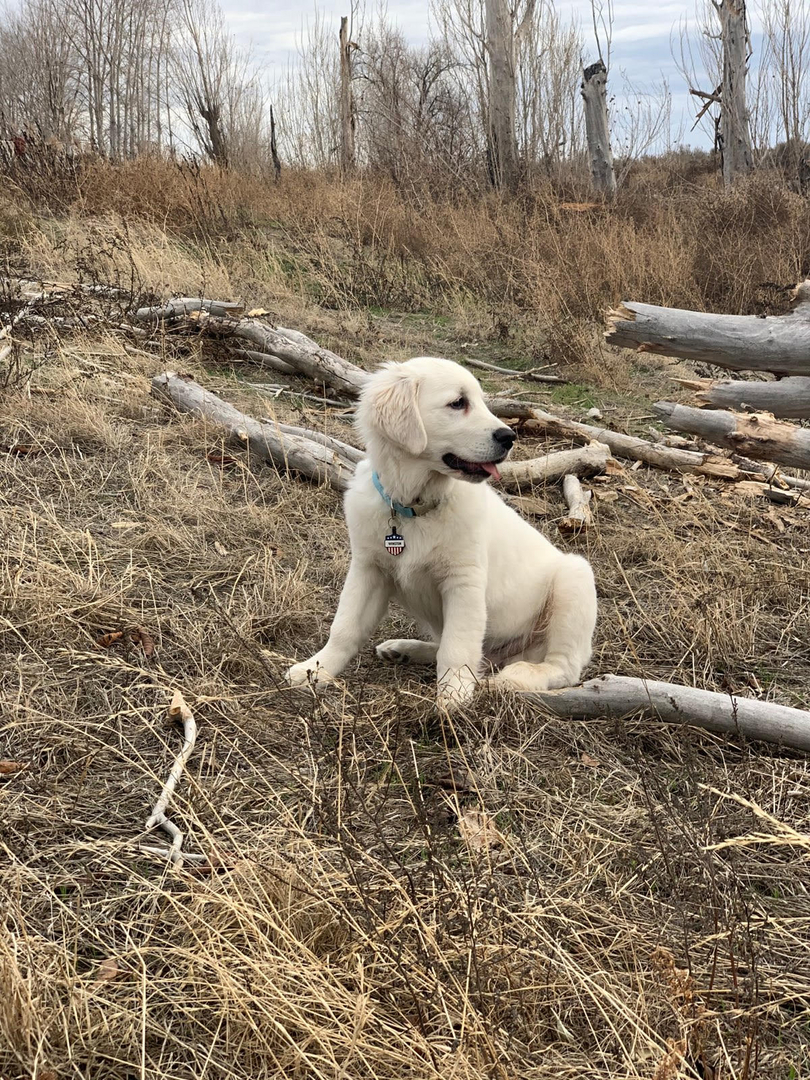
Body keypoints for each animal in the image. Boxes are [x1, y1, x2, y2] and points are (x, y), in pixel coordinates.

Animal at [285, 356, 596, 708]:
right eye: (458, 403)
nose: (509, 437)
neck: (411, 507)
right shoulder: (369, 569)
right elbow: (345, 627)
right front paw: (315, 668)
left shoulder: (464, 582)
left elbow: (457, 646)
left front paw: (454, 694)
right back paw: (405, 649)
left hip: (575, 578)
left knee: (562, 667)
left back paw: (514, 677)